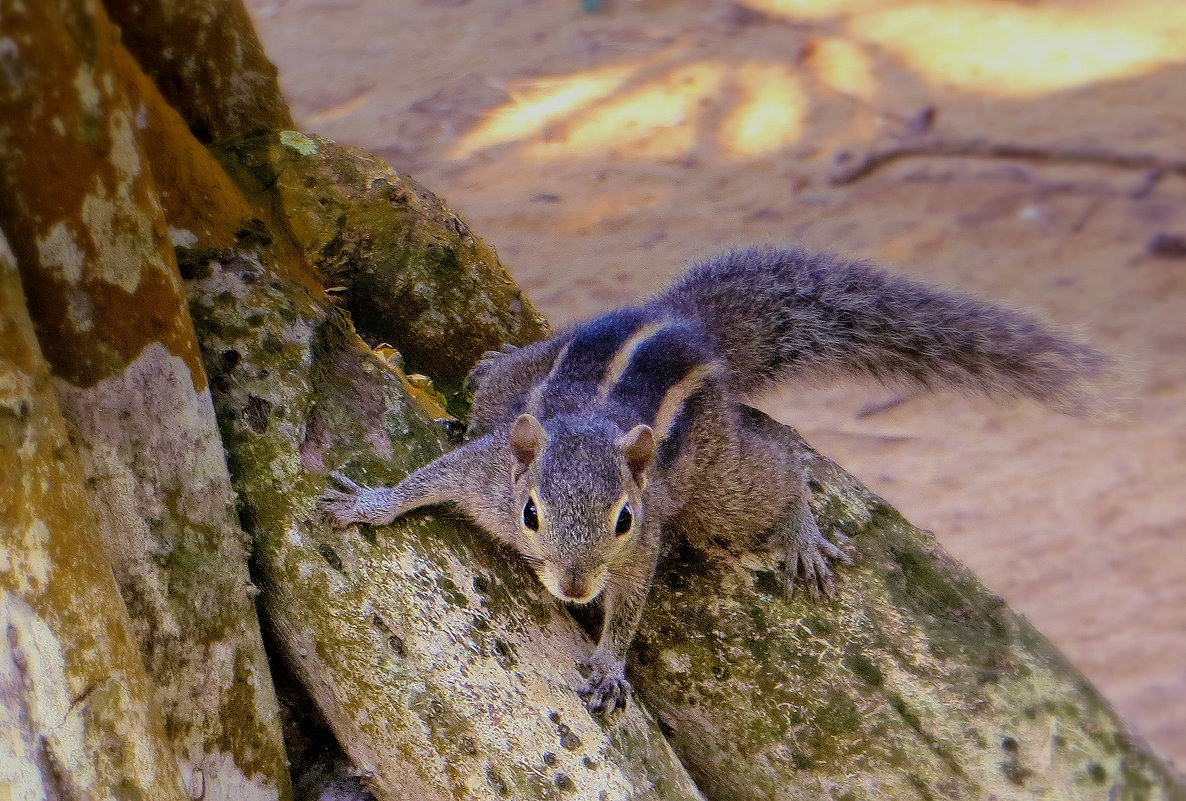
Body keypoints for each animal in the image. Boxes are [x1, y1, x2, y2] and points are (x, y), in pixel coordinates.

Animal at [320, 244, 1105, 716]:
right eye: (531, 514)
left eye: (624, 519)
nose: (575, 588)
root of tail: (685, 324)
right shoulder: (485, 470)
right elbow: (430, 476)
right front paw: (370, 503)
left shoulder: (644, 543)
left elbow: (630, 604)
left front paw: (610, 665)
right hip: (520, 387)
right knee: (499, 383)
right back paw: (492, 361)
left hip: (719, 476)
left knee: (779, 463)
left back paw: (800, 530)